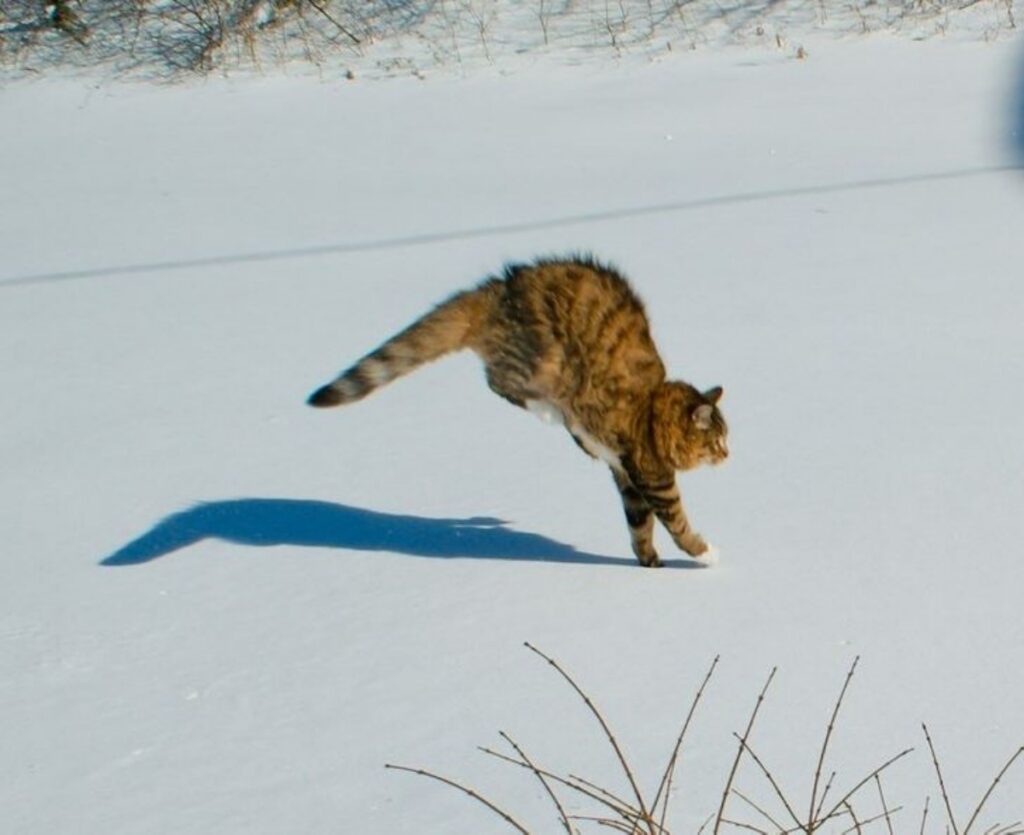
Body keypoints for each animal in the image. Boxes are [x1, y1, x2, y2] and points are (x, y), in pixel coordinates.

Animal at [305, 256, 729, 569]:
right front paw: (703, 553)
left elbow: (639, 525)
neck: (654, 409)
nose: (729, 455)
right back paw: (550, 410)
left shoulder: (626, 474)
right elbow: (675, 519)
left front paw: (648, 562)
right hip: (544, 359)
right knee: (500, 380)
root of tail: (501, 289)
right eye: (718, 441)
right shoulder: (651, 474)